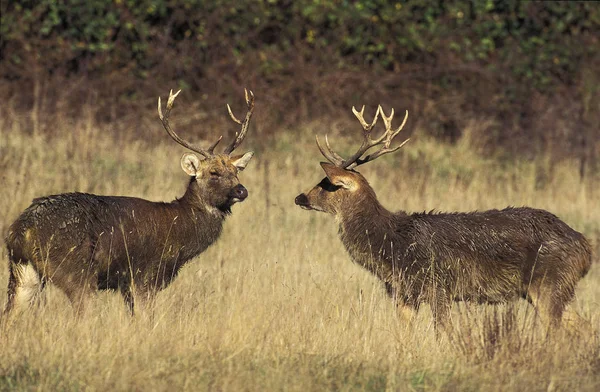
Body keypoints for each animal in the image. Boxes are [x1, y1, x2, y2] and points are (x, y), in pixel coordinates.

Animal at [2, 87, 255, 316]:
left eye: (236, 171)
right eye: (213, 172)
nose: (242, 190)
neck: (180, 231)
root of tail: (22, 229)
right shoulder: (144, 275)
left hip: (23, 271)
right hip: (76, 270)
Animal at [294, 105, 592, 336]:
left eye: (326, 184)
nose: (299, 197)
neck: (392, 245)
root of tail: (586, 248)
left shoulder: (439, 287)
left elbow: (444, 333)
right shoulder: (404, 295)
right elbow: (403, 337)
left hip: (549, 283)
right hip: (550, 290)